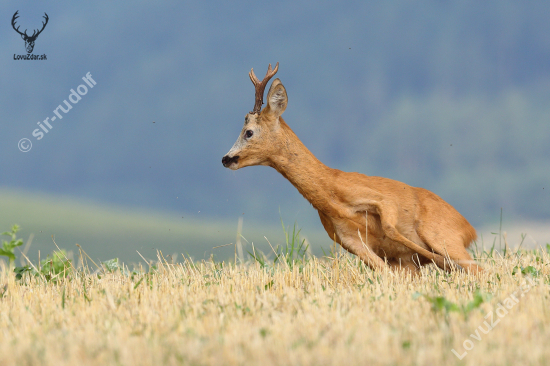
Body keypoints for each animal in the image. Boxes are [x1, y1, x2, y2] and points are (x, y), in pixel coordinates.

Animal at [222, 63, 486, 274]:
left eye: (248, 132)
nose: (226, 159)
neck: (331, 195)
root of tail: (470, 229)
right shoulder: (350, 241)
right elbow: (386, 273)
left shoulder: (382, 199)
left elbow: (390, 228)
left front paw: (438, 260)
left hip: (444, 235)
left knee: (479, 269)